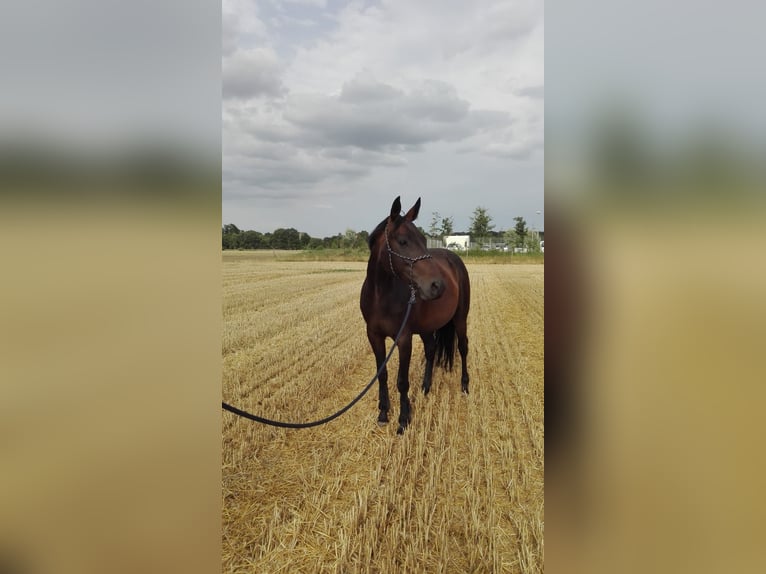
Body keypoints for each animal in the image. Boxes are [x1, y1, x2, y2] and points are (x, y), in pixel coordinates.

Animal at [362, 196, 474, 434]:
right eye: (403, 241)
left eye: (423, 239)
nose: (437, 286)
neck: (380, 296)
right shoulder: (374, 336)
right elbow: (382, 374)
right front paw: (383, 413)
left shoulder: (403, 338)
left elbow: (402, 381)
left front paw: (404, 420)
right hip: (427, 327)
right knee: (431, 350)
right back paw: (425, 386)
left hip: (460, 318)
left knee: (463, 347)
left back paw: (464, 385)